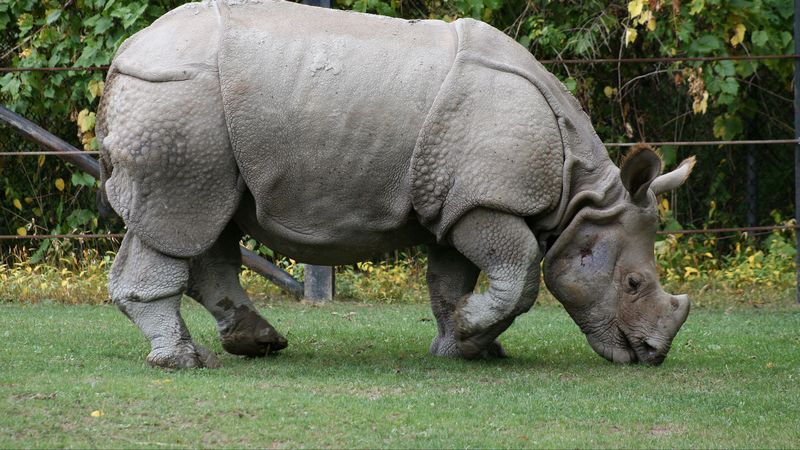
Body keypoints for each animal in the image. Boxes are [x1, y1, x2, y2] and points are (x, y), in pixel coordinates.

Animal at [96, 0, 694, 369]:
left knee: (204, 222)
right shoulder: (485, 200)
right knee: (181, 218)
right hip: (179, 103)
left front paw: (464, 343)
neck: (581, 194)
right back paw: (187, 362)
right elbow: (520, 271)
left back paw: (258, 343)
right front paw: (472, 333)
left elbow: (450, 280)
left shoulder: (456, 201)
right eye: (633, 284)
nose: (652, 354)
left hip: (191, 118)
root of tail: (125, 55)